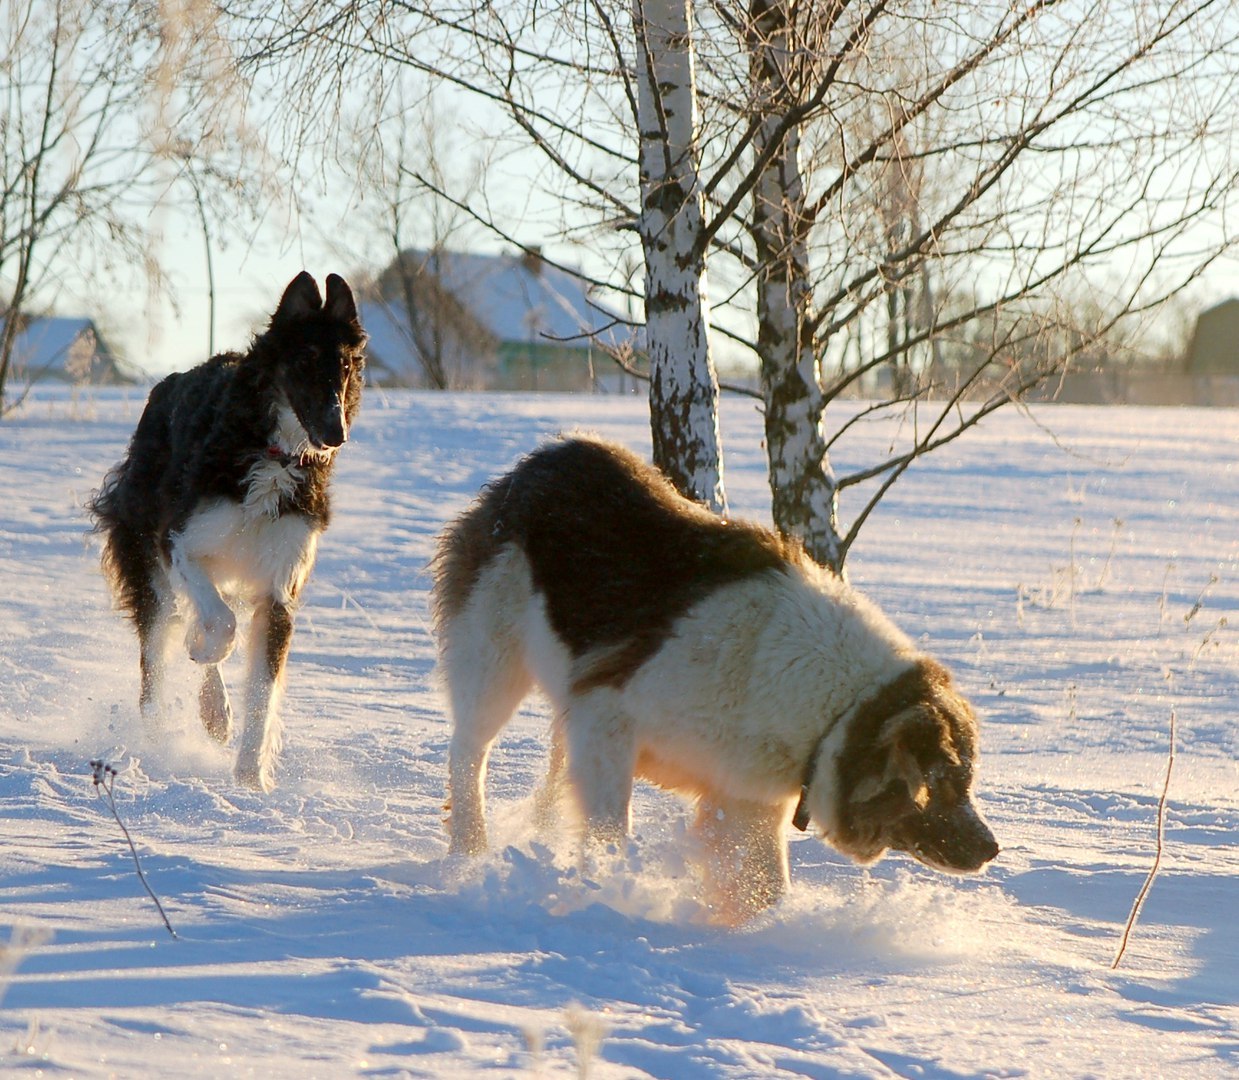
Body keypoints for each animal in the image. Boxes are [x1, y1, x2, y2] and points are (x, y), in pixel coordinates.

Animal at [90, 272, 364, 792]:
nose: (335, 434)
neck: (274, 455)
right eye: (304, 361)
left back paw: (214, 711)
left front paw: (251, 781)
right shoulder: (179, 541)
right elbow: (219, 624)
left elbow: (261, 692)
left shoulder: (279, 588)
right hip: (146, 555)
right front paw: (200, 646)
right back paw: (158, 730)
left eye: (343, 366)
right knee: (158, 650)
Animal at [431, 438, 1001, 921]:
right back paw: (469, 854)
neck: (831, 702)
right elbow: (610, 830)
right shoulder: (604, 719)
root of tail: (541, 460)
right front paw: (611, 893)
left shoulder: (744, 799)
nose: (993, 848)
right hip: (494, 662)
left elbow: (763, 886)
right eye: (944, 782)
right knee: (468, 754)